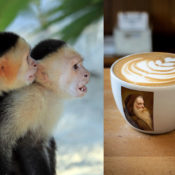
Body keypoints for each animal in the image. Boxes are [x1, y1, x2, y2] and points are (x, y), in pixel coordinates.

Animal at [0, 39, 90, 175]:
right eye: (75, 66)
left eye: (81, 64)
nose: (87, 74)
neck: (43, 89)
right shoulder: (26, 99)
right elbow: (26, 145)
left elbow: (39, 142)